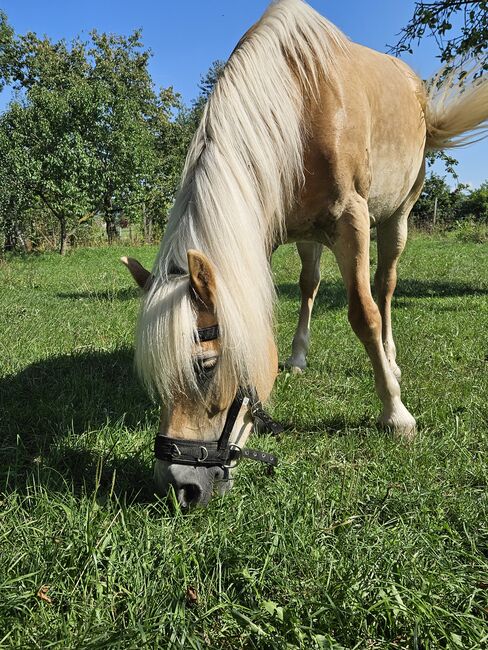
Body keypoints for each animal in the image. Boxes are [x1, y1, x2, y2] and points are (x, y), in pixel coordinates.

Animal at [121, 0, 488, 506]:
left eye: (206, 365)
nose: (179, 487)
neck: (301, 103)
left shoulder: (353, 221)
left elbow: (364, 313)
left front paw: (395, 412)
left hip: (397, 216)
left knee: (385, 287)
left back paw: (391, 358)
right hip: (310, 235)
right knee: (310, 285)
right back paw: (298, 357)